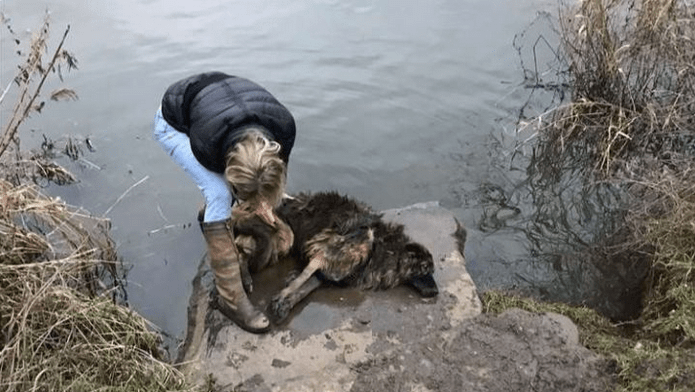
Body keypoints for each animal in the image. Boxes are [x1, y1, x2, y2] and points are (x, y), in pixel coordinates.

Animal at [234, 191, 440, 324]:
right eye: (426, 269)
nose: (436, 292)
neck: (382, 247)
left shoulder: (325, 273)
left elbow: (305, 288)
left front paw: (287, 302)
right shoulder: (325, 248)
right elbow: (302, 278)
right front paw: (282, 296)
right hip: (281, 236)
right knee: (240, 248)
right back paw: (245, 278)